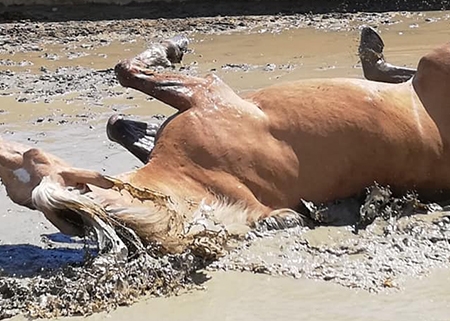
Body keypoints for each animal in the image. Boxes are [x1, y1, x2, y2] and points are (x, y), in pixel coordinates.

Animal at [0, 31, 450, 258]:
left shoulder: (203, 94)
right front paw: (171, 47)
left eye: (30, 156)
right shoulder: (209, 92)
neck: (191, 183)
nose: (3, 146)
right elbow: (128, 71)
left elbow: (119, 111)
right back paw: (372, 51)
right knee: (393, 71)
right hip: (434, 59)